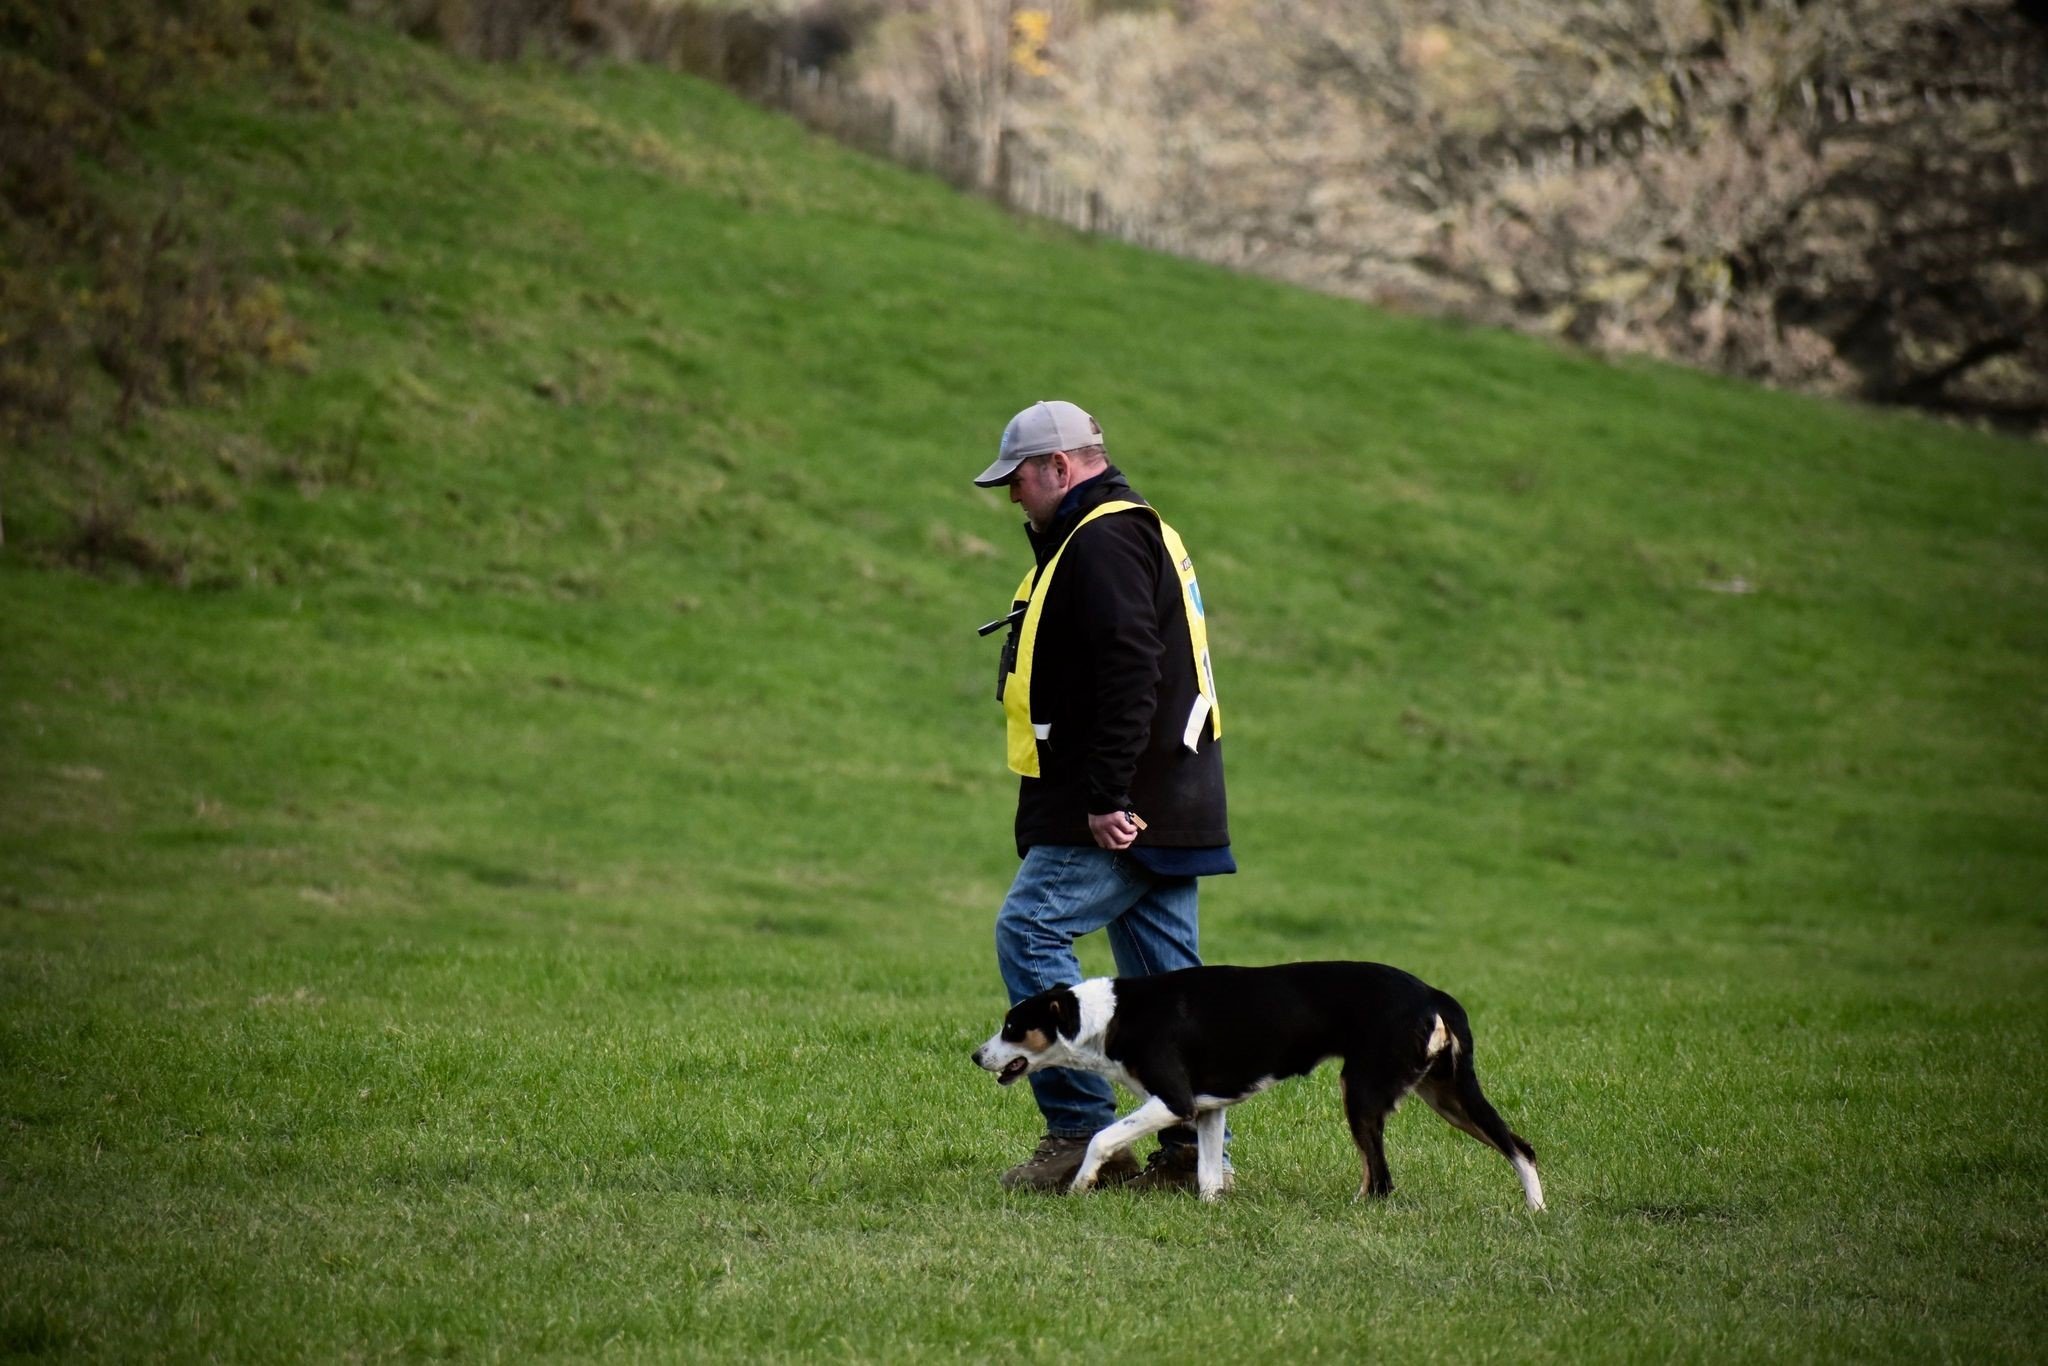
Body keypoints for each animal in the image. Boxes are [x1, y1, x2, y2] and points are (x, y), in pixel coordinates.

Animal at [970, 962, 1540, 1204]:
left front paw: (1081, 1184)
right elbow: (1207, 1175)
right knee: (1521, 1146)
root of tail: (1432, 993)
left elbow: (1102, 1137)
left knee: (1379, 1180)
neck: (1109, 1017)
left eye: (1012, 1027)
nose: (976, 1055)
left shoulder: (1174, 1100)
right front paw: (1210, 1212)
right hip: (1445, 1093)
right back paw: (1535, 1212)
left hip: (1362, 1092)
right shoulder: (1208, 1107)